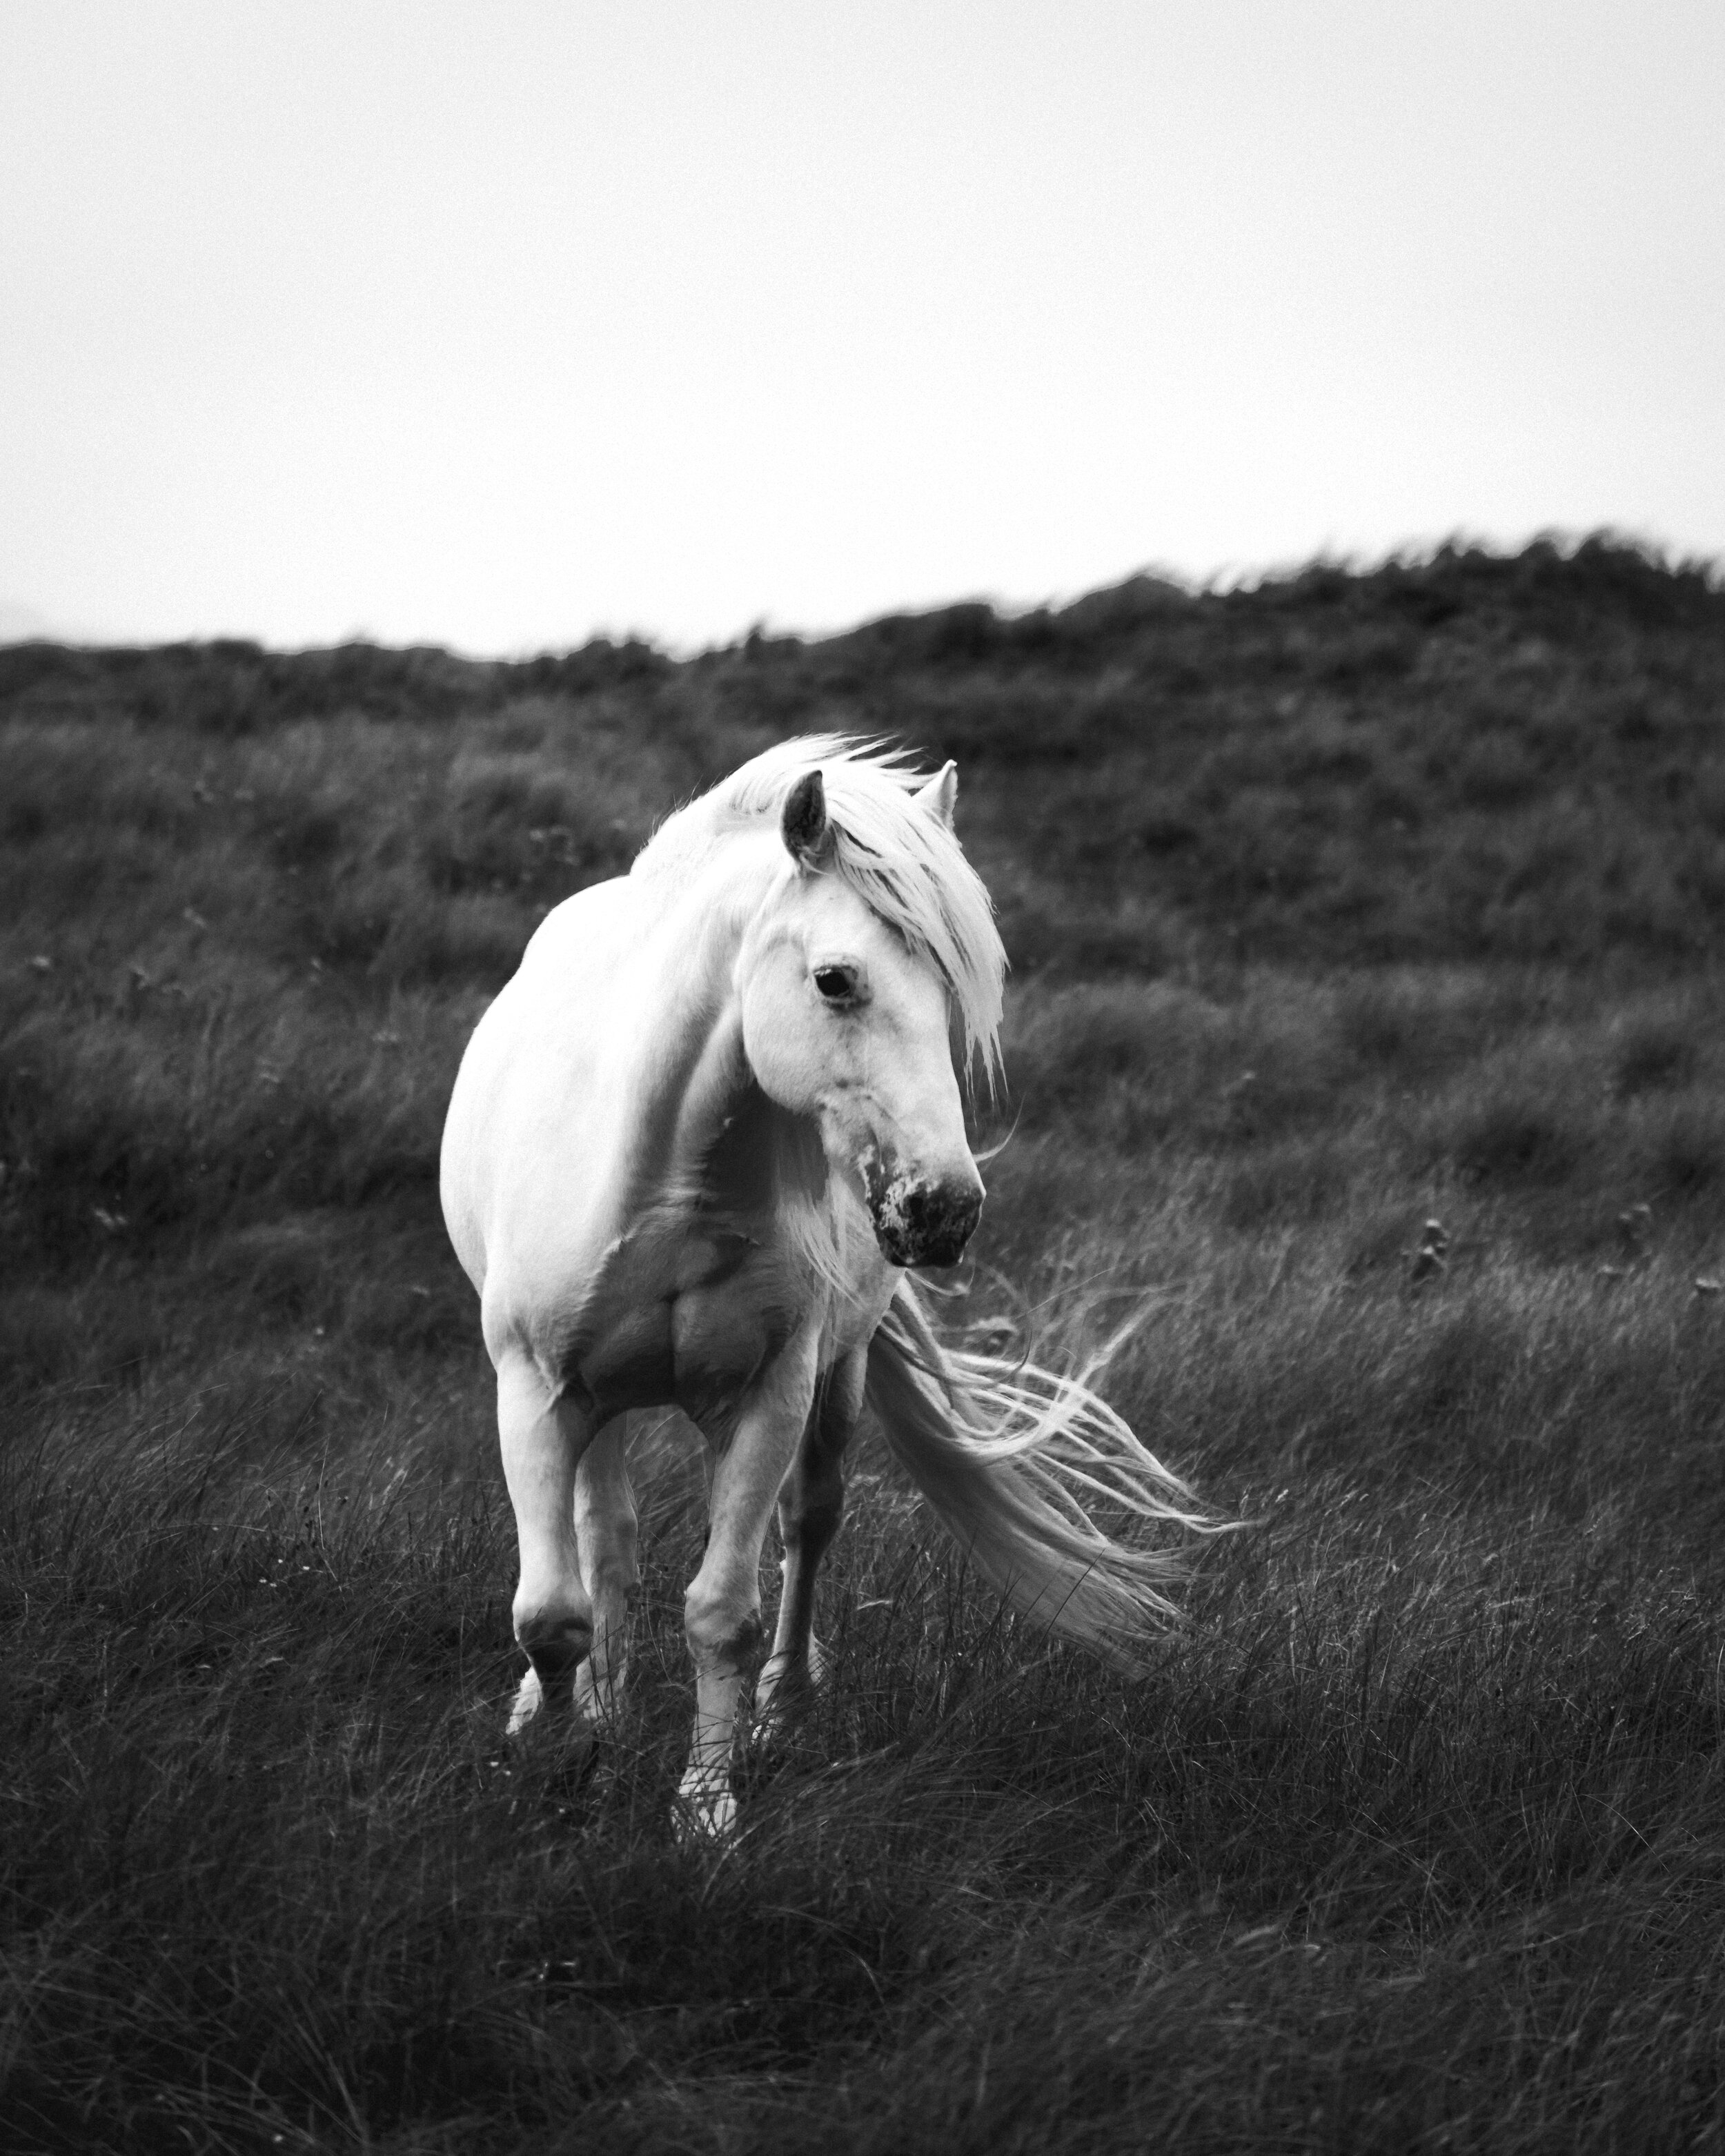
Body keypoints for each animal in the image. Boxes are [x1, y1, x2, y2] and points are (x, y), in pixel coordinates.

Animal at [440, 737, 1210, 1834]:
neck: (666, 1182)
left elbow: (723, 1609)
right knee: (604, 1540)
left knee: (809, 1521)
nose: (944, 1209)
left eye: (956, 993)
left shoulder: (771, 1394)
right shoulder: (537, 1390)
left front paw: (705, 1805)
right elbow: (551, 1613)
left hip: (834, 1379)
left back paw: (782, 1707)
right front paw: (552, 1750)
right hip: (594, 1400)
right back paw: (599, 1706)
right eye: (836, 980)